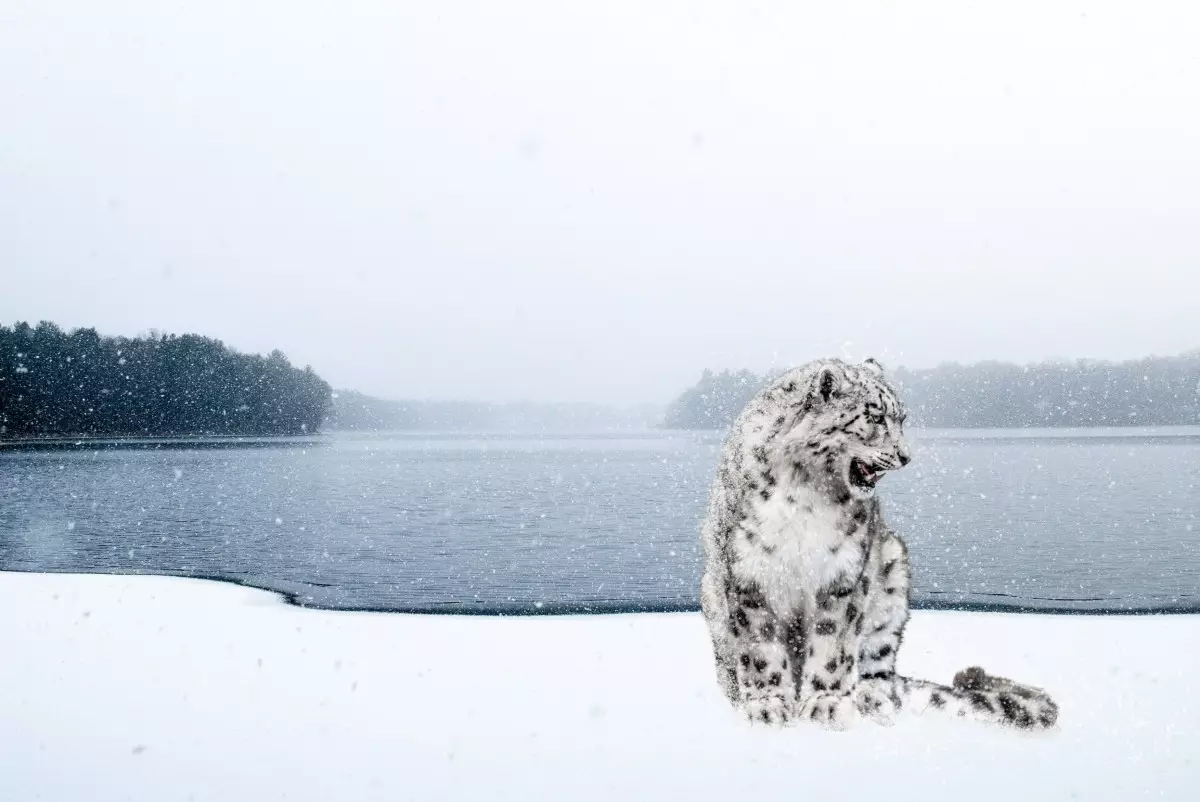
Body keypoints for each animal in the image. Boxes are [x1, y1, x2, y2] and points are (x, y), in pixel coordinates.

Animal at [700, 357, 1056, 725]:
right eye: (875, 417)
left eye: (901, 419)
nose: (905, 456)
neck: (806, 495)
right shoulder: (749, 573)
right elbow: (759, 649)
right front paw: (767, 704)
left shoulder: (844, 573)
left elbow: (833, 644)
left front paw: (826, 703)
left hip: (892, 580)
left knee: (880, 665)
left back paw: (872, 698)